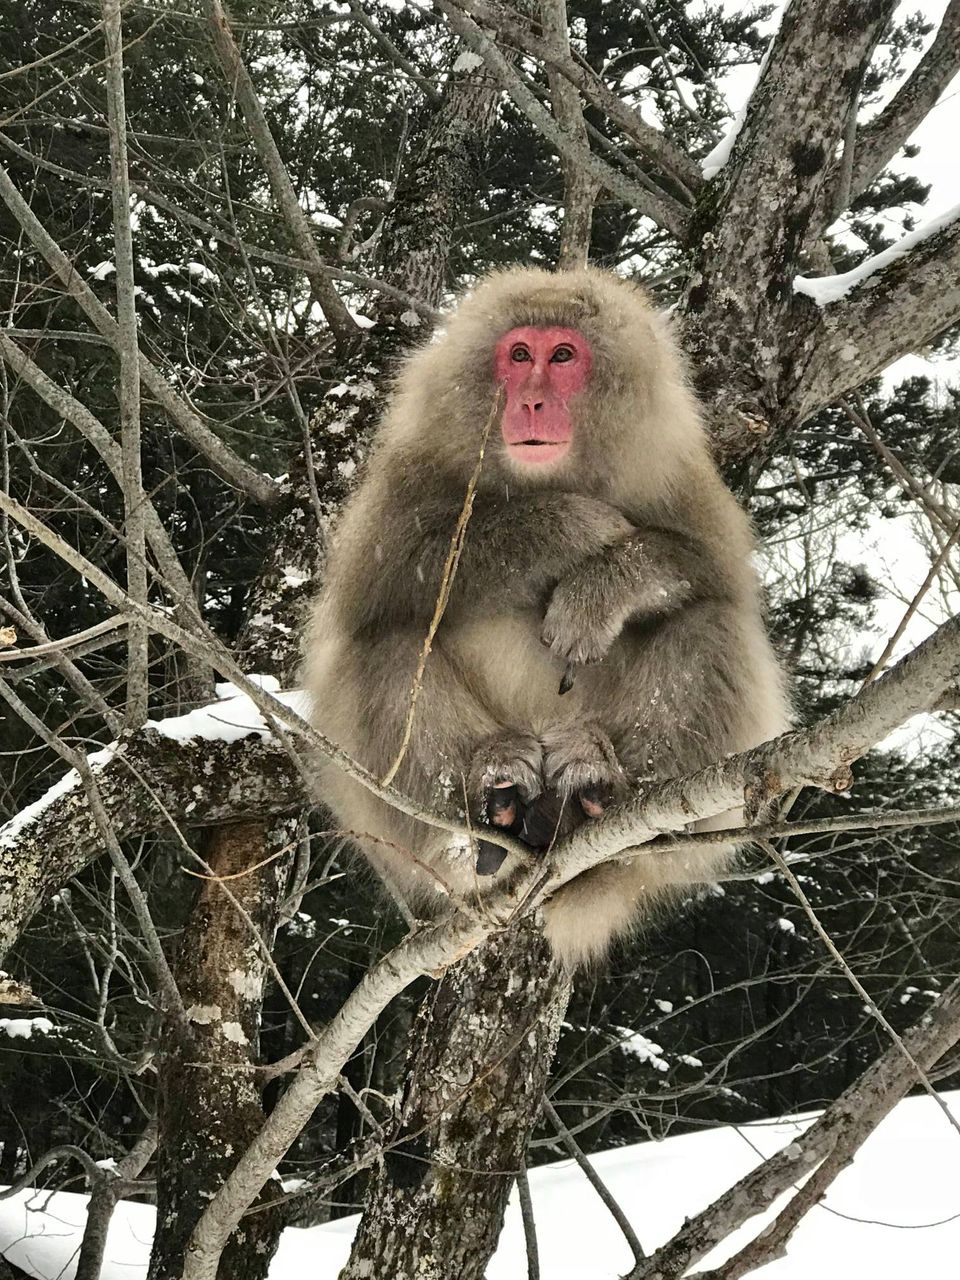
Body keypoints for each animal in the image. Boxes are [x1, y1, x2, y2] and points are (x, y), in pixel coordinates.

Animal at [308, 272, 788, 967]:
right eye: (518, 355)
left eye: (562, 356)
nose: (531, 401)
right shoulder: (407, 471)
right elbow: (376, 585)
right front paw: (569, 525)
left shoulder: (678, 473)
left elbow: (715, 574)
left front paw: (601, 588)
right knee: (381, 648)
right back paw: (496, 798)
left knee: (710, 624)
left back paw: (596, 792)